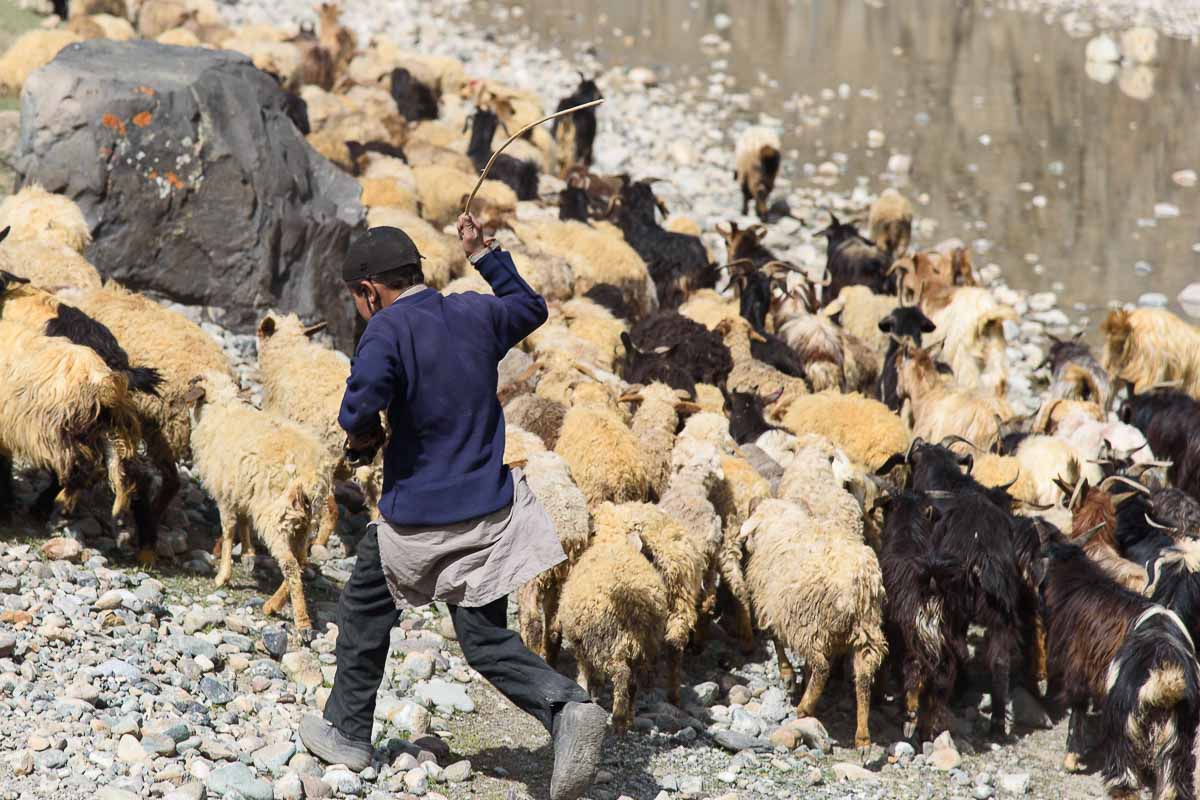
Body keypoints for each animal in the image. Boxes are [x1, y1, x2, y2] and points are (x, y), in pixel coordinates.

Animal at [186, 371, 333, 633]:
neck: (220, 410)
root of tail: (312, 476)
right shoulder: (244, 492)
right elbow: (244, 522)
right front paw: (248, 554)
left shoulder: (226, 495)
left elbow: (228, 531)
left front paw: (223, 575)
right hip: (305, 521)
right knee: (301, 560)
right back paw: (273, 604)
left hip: (277, 516)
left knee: (291, 565)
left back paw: (301, 623)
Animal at [734, 496, 888, 748]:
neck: (781, 517)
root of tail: (857, 585)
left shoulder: (774, 608)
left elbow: (776, 641)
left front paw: (788, 675)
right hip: (866, 628)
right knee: (864, 676)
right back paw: (863, 737)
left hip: (809, 626)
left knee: (822, 667)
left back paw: (805, 708)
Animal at [1036, 532, 1195, 796]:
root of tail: (1164, 682)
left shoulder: (1077, 669)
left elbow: (1077, 710)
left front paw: (1071, 760)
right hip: (1176, 742)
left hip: (1125, 732)